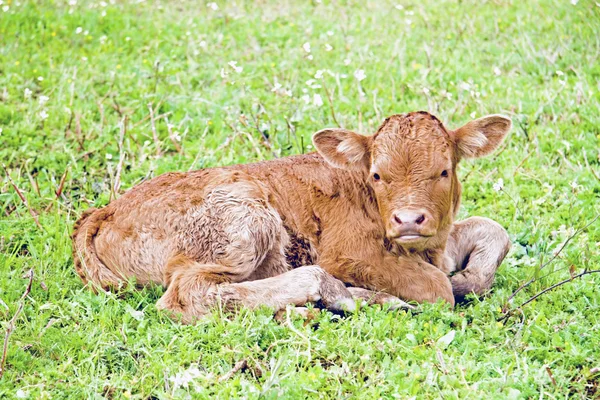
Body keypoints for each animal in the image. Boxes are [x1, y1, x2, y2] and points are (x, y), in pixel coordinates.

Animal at [70, 111, 510, 324]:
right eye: (377, 175)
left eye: (444, 171)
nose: (408, 220)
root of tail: (104, 210)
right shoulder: (349, 253)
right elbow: (437, 288)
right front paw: (449, 286)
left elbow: (493, 230)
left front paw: (467, 278)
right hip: (245, 220)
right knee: (190, 294)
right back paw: (339, 297)